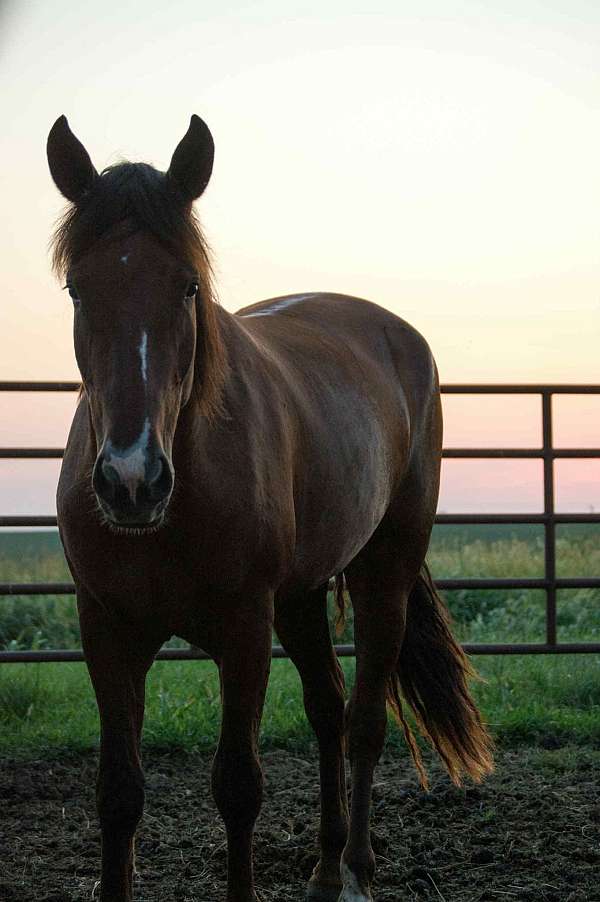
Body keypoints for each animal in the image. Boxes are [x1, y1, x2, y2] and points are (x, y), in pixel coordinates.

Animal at [46, 114, 493, 902]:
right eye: (77, 289)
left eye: (188, 287)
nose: (132, 479)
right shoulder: (106, 629)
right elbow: (119, 793)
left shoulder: (245, 628)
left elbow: (238, 786)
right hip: (302, 594)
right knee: (327, 709)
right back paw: (323, 865)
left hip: (384, 573)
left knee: (364, 718)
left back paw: (356, 870)